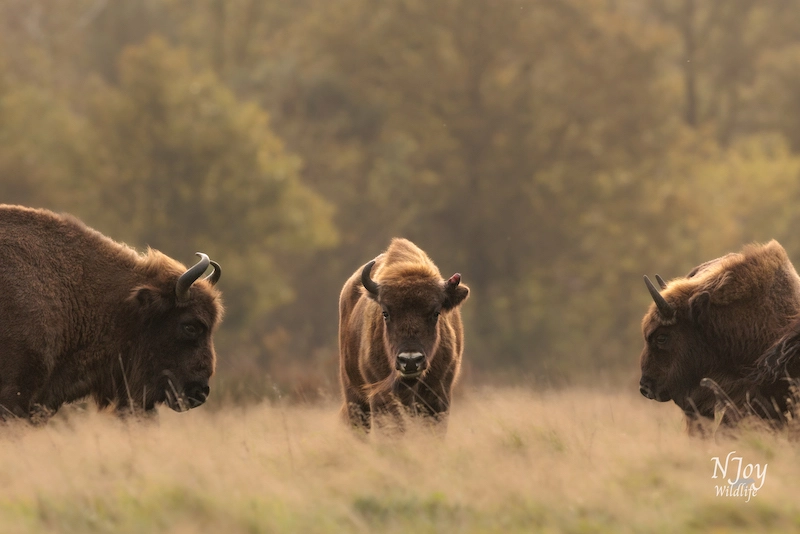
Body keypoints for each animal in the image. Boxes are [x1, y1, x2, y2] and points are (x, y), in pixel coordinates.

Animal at [338, 239, 468, 436]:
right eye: (385, 313)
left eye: (436, 313)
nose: (411, 360)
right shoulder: (381, 398)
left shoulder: (438, 398)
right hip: (354, 397)